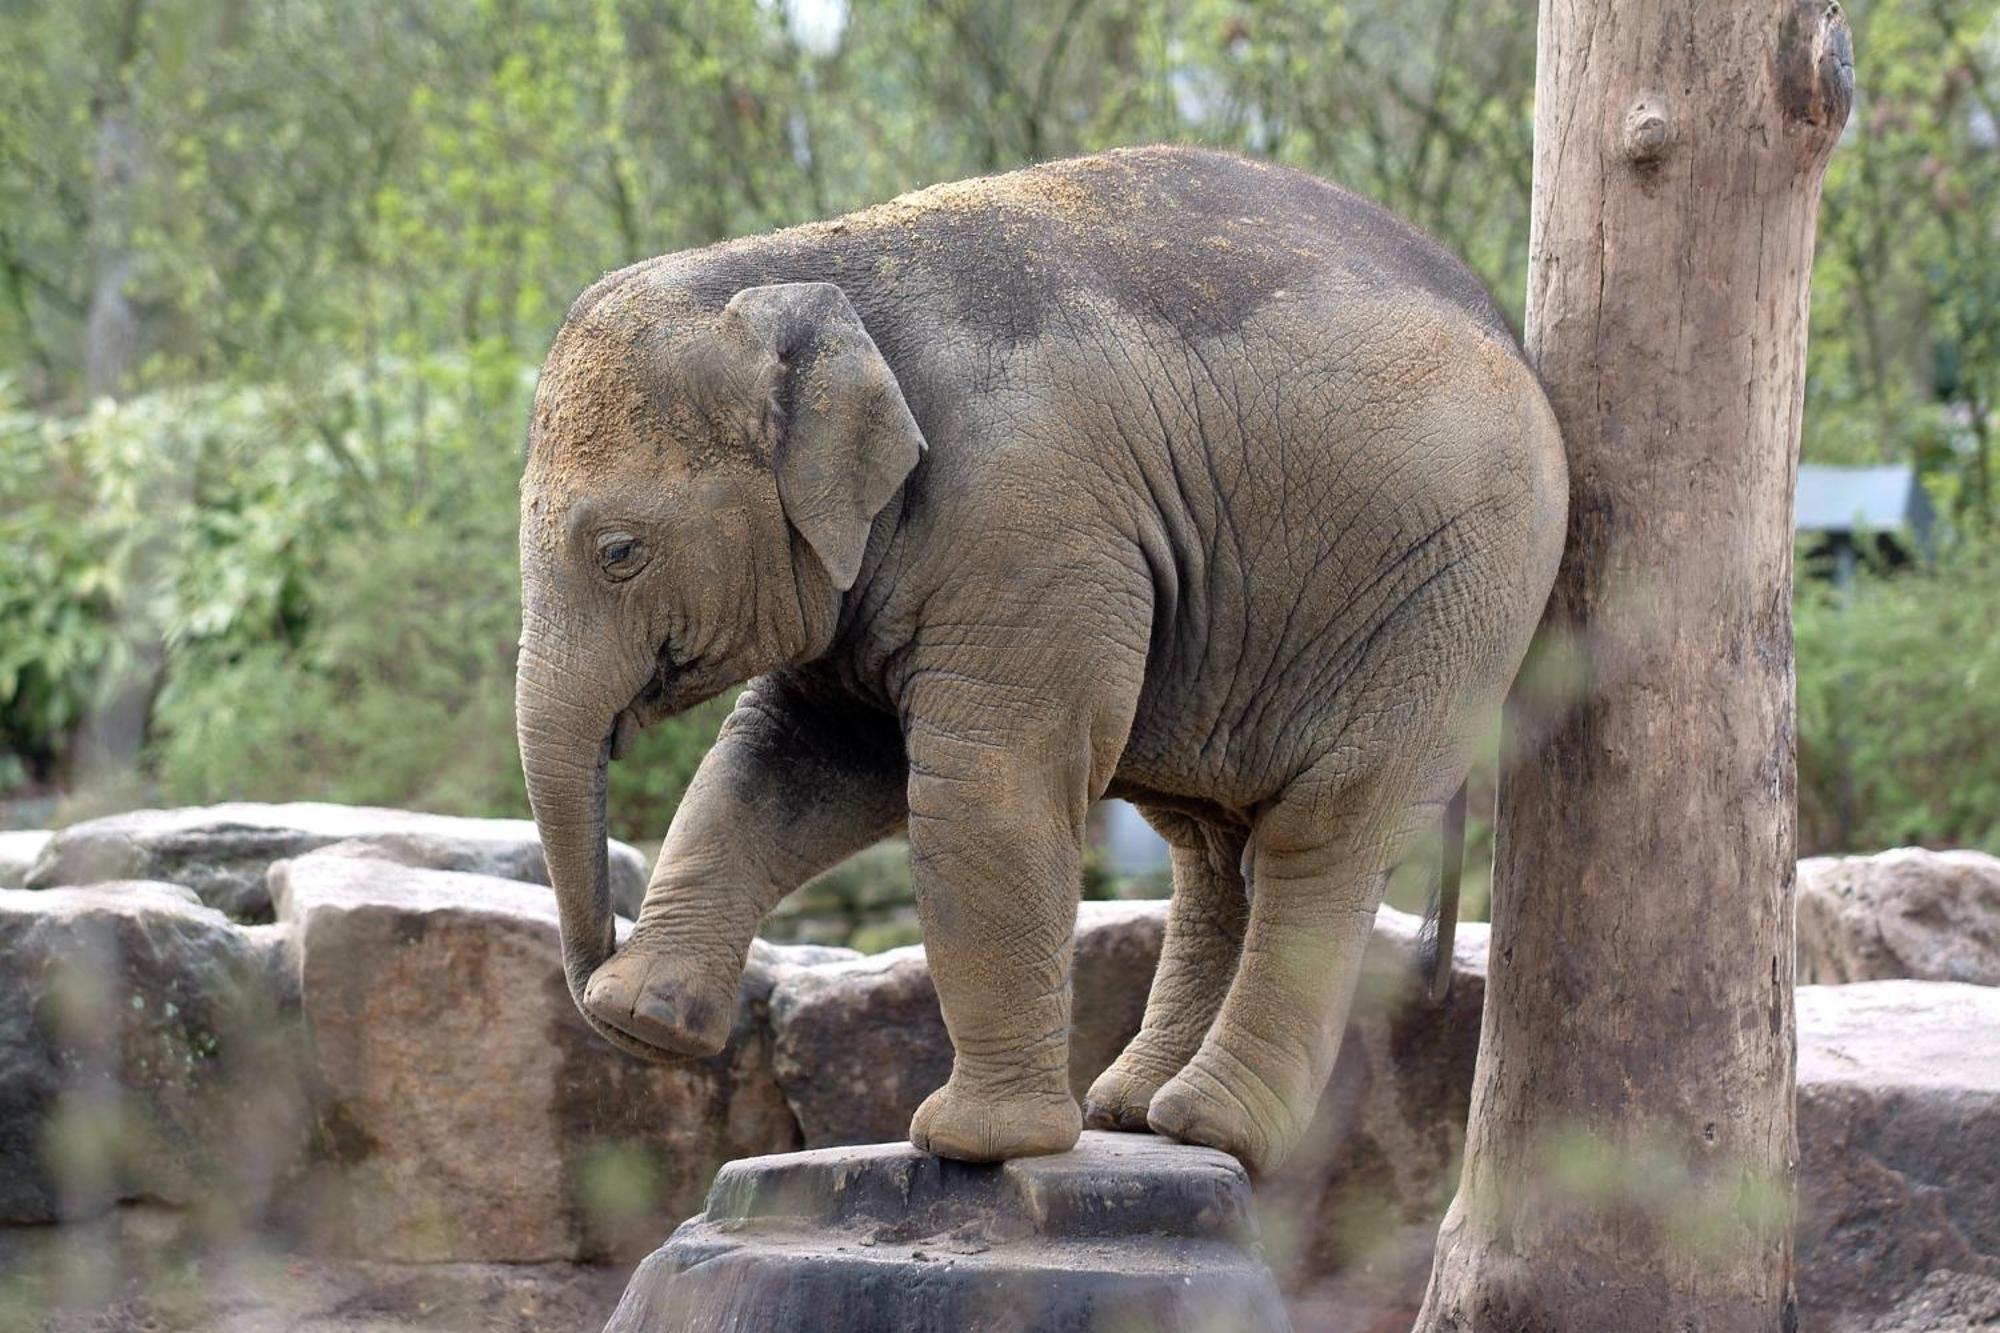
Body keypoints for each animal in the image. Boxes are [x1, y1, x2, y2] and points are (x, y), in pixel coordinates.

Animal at [512, 140, 1560, 1168]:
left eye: (618, 553)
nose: (594, 981)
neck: (800, 267)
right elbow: (790, 758)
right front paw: (647, 1018)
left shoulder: (1030, 519)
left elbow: (983, 786)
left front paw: (973, 1143)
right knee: (1212, 847)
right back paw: (1132, 1113)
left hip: (1453, 593)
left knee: (1327, 831)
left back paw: (1207, 1127)